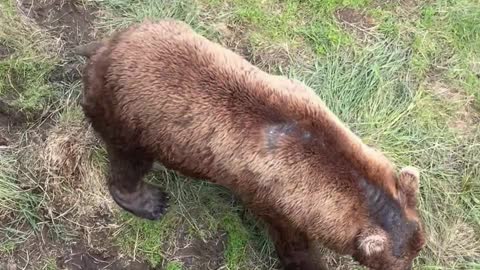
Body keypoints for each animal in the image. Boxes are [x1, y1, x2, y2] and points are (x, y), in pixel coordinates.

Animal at [77, 19, 426, 270]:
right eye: (394, 264)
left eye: (417, 249)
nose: (410, 263)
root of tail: (106, 47)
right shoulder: (277, 203)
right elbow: (295, 249)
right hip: (129, 117)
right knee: (129, 161)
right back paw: (150, 201)